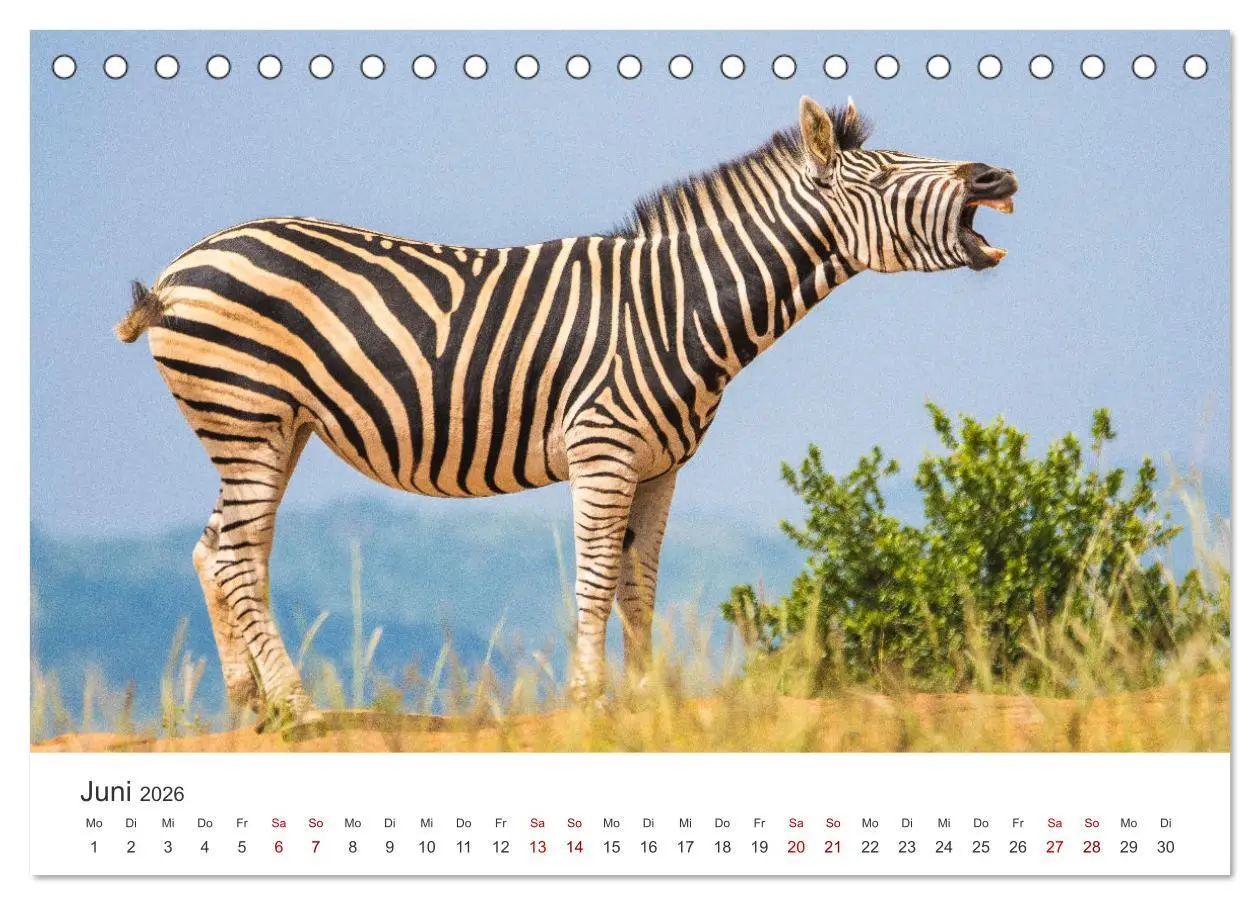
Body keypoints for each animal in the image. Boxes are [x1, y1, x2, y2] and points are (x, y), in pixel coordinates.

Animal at [115, 96, 1017, 724]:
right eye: (889, 175)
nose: (997, 177)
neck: (678, 306)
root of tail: (178, 267)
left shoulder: (660, 466)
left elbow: (638, 581)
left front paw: (648, 698)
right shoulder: (603, 449)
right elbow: (593, 578)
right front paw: (589, 697)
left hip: (273, 424)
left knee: (218, 549)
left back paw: (252, 704)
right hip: (247, 411)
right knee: (236, 555)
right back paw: (300, 707)